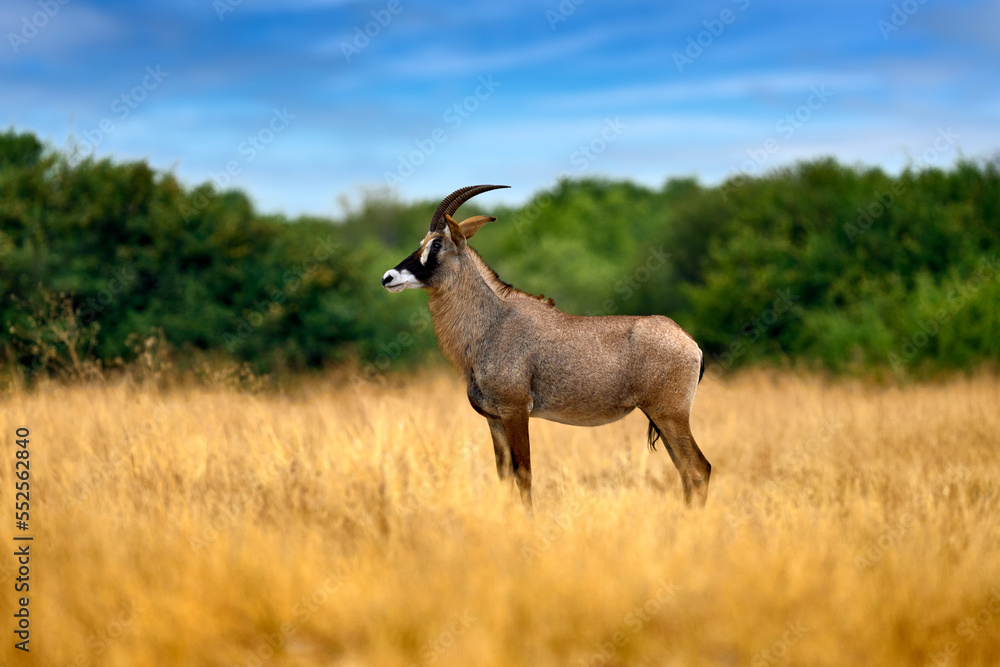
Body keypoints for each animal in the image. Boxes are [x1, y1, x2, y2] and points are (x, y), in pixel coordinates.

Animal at [381, 185, 710, 509]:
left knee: (698, 468)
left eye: (436, 244)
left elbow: (523, 473)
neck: (492, 322)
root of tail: (691, 343)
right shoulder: (494, 419)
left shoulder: (515, 411)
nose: (388, 277)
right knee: (685, 471)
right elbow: (503, 476)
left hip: (670, 415)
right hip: (660, 418)